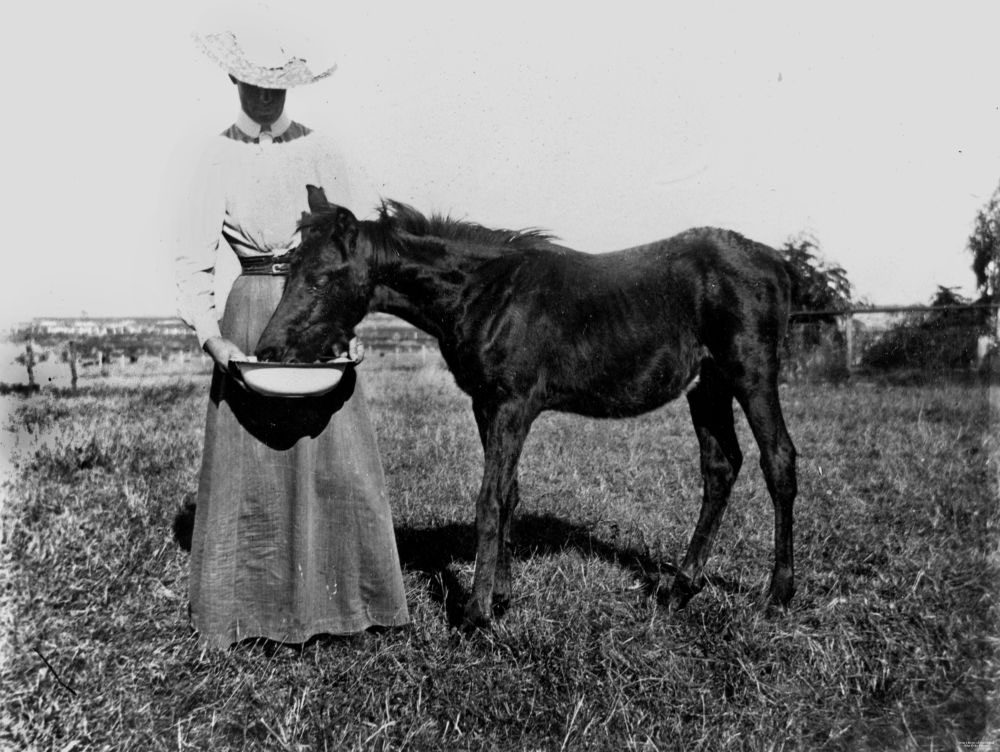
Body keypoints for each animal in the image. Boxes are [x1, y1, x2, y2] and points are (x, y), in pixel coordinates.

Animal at [256, 185, 798, 629]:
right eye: (289, 271)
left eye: (321, 279)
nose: (268, 351)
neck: (485, 293)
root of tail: (774, 262)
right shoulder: (486, 406)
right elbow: (509, 494)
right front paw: (502, 596)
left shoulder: (512, 406)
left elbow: (489, 501)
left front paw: (474, 614)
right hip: (707, 387)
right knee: (721, 467)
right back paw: (680, 590)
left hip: (749, 374)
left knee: (779, 463)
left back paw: (776, 597)